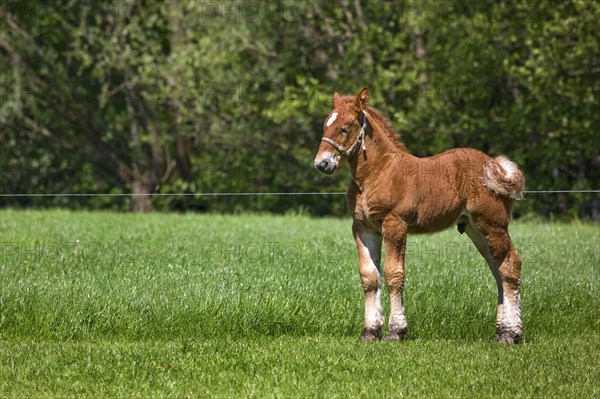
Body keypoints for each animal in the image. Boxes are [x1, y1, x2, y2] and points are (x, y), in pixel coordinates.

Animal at [314, 87, 524, 344]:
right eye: (325, 125)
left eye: (345, 128)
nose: (322, 164)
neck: (377, 173)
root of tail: (496, 166)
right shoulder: (363, 228)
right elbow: (369, 277)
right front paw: (370, 331)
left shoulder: (395, 224)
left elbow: (394, 274)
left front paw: (396, 331)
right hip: (475, 228)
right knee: (497, 270)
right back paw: (501, 331)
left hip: (493, 224)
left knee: (510, 266)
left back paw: (511, 333)